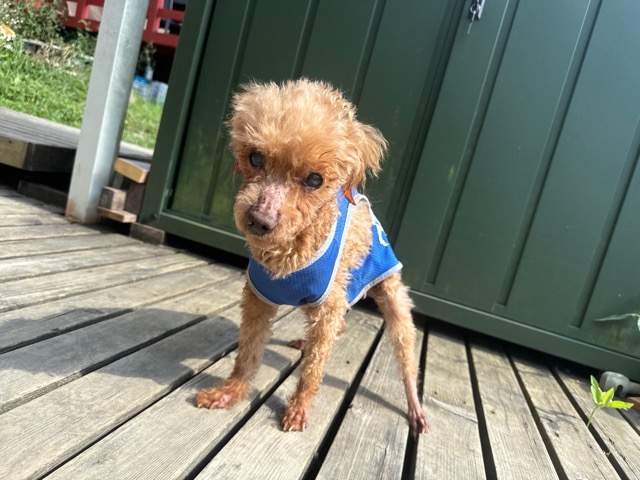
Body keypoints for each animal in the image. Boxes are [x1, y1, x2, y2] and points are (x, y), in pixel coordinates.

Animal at [196, 78, 428, 436]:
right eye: (255, 157)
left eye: (315, 180)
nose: (260, 220)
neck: (287, 255)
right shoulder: (258, 299)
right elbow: (248, 353)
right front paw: (229, 392)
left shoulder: (327, 306)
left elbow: (314, 369)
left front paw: (299, 408)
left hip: (391, 298)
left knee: (403, 355)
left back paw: (414, 405)